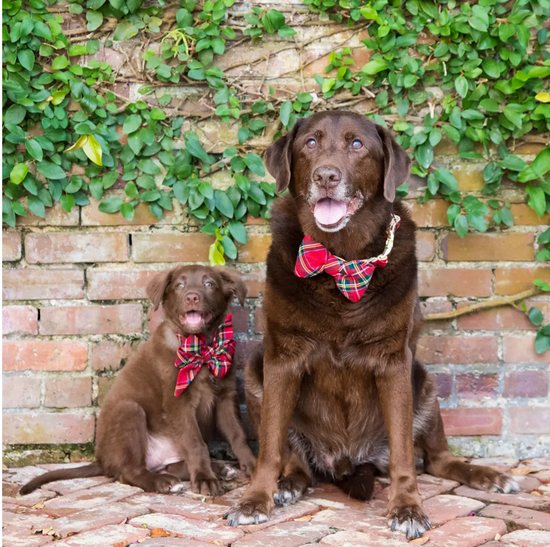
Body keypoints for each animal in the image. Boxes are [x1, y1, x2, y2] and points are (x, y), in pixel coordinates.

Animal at [19, 266, 256, 496]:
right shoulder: (178, 403)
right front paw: (205, 479)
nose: (192, 297)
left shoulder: (225, 396)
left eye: (209, 284)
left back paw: (218, 469)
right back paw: (164, 482)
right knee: (130, 472)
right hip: (129, 411)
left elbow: (238, 434)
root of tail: (101, 461)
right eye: (180, 286)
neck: (202, 347)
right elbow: (196, 443)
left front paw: (253, 465)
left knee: (171, 466)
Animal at [226, 111, 520, 540]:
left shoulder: (394, 362)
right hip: (254, 372)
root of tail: (346, 462)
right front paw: (254, 500)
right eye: (310, 143)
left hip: (423, 382)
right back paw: (288, 485)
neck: (341, 260)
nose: (326, 176)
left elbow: (403, 455)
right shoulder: (282, 359)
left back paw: (488, 475)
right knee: (295, 460)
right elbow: (269, 448)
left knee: (438, 460)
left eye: (357, 145)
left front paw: (408, 507)